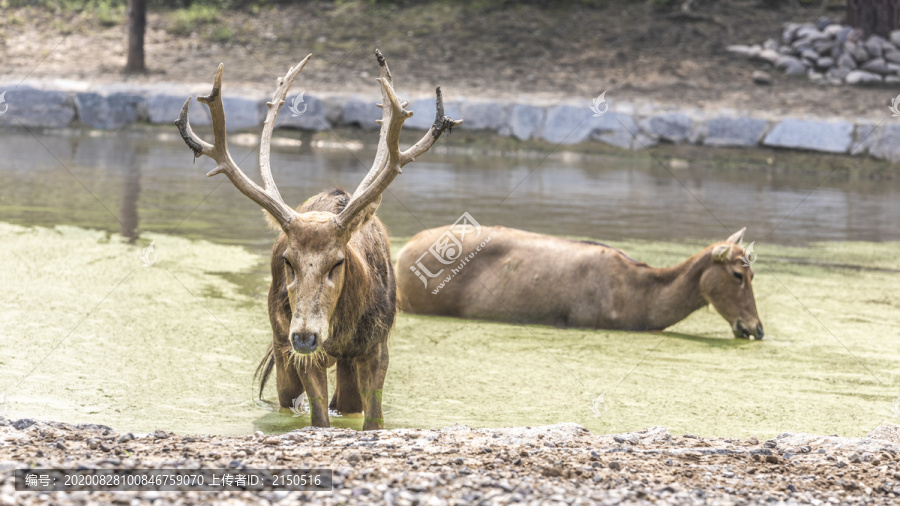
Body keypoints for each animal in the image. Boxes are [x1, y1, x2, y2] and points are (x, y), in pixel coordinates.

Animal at [175, 50, 460, 430]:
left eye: (338, 260)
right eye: (288, 260)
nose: (306, 335)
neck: (341, 329)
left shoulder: (377, 346)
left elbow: (374, 419)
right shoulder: (300, 351)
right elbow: (320, 417)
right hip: (281, 343)